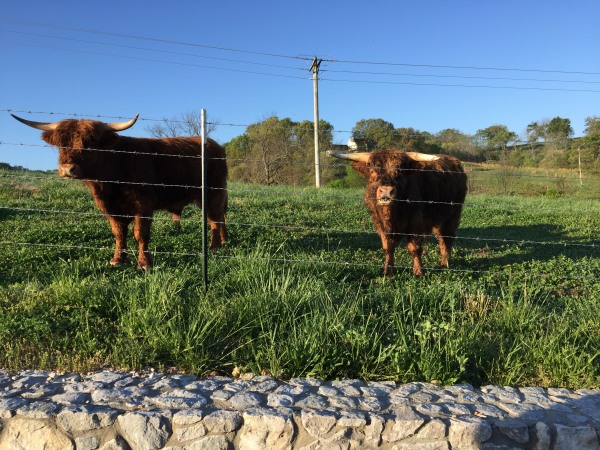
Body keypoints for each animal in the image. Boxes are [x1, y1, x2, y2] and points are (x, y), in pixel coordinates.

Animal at [12, 113, 227, 268]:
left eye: (90, 143)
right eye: (61, 143)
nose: (67, 169)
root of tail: (214, 144)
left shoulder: (143, 206)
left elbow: (140, 234)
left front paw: (144, 263)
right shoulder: (110, 207)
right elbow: (118, 233)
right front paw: (118, 259)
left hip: (213, 193)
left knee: (215, 218)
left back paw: (214, 247)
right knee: (216, 218)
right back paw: (223, 242)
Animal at [330, 149, 466, 276]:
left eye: (400, 171)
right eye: (373, 170)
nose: (386, 191)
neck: (391, 214)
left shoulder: (416, 222)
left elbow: (414, 248)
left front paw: (418, 271)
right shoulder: (380, 223)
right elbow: (388, 247)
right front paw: (388, 270)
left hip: (452, 215)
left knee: (446, 238)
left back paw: (445, 263)